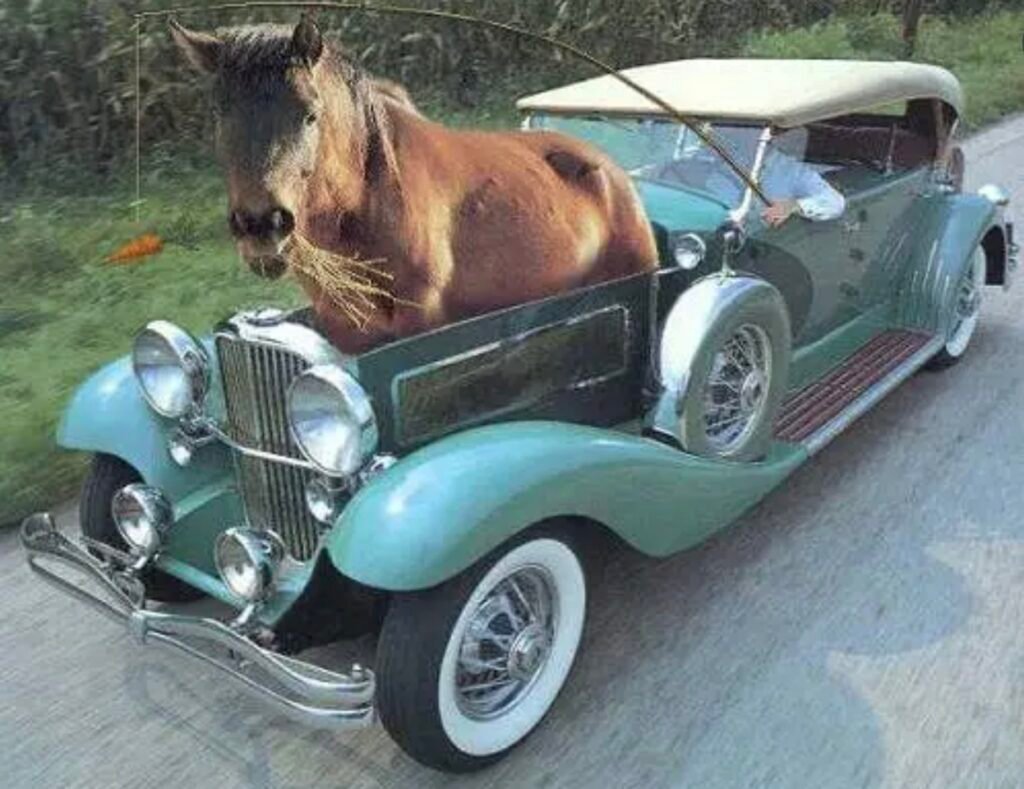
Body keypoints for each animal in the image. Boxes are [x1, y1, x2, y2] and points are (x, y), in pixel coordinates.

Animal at [170, 16, 658, 353]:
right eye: (219, 115)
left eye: (310, 114)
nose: (261, 226)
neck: (367, 203)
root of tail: (609, 168)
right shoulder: (345, 329)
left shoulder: (419, 319)